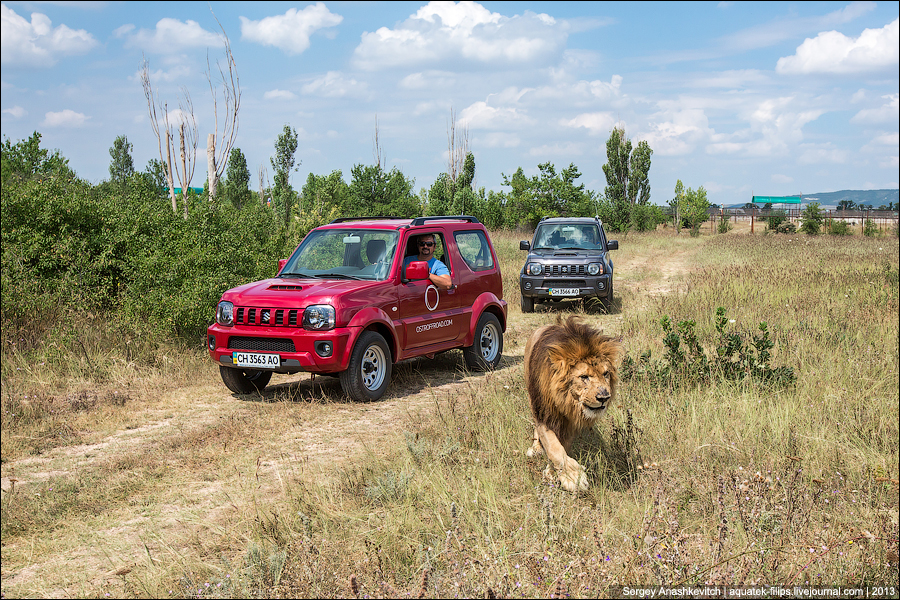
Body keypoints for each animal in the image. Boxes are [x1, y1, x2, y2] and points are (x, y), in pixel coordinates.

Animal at [524, 314, 624, 492]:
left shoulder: (569, 422)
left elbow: (561, 446)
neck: (566, 400)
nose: (604, 397)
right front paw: (574, 477)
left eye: (606, 373)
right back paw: (536, 448)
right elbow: (554, 447)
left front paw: (553, 472)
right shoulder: (545, 413)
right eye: (584, 377)